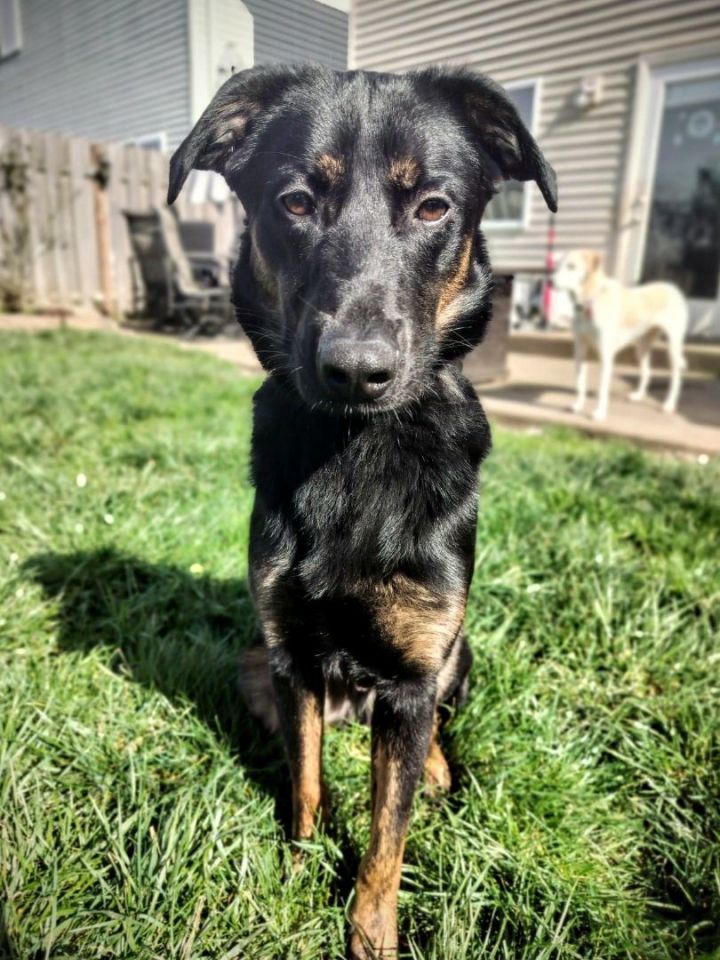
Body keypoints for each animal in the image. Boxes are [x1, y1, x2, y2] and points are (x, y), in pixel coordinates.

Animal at [170, 63, 556, 956]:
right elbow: (307, 780)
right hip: (254, 664)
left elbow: (388, 832)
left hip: (456, 657)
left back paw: (441, 771)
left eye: (434, 207)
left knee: (433, 738)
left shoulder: (415, 675)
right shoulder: (291, 659)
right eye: (295, 201)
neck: (357, 451)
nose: (355, 370)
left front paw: (371, 930)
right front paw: (298, 865)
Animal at [556, 251, 688, 420]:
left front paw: (600, 413)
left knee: (676, 376)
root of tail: (672, 287)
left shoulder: (605, 355)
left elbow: (602, 388)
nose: (550, 281)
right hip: (642, 346)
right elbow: (580, 383)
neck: (589, 303)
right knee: (647, 372)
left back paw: (669, 404)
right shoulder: (580, 350)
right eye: (557, 266)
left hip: (673, 345)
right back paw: (638, 396)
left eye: (571, 266)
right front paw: (578, 405)